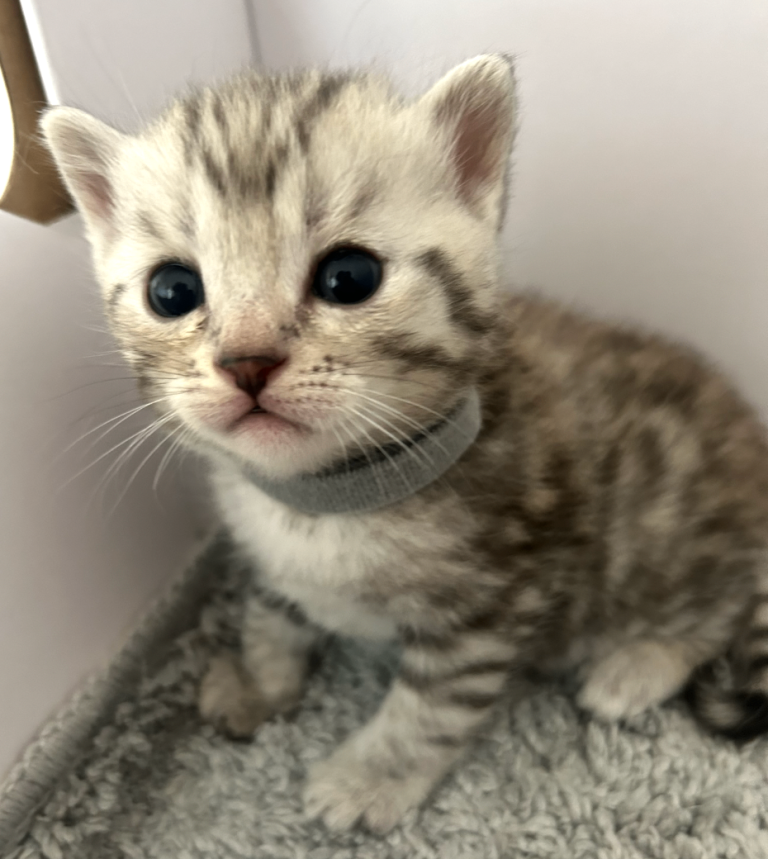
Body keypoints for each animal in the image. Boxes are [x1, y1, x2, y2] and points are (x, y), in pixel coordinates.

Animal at [43, 55, 768, 834]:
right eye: (172, 290)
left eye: (349, 277)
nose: (247, 362)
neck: (328, 499)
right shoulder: (269, 555)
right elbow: (272, 616)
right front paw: (259, 683)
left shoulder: (493, 605)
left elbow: (429, 710)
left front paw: (367, 779)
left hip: (668, 544)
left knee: (718, 610)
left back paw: (636, 668)